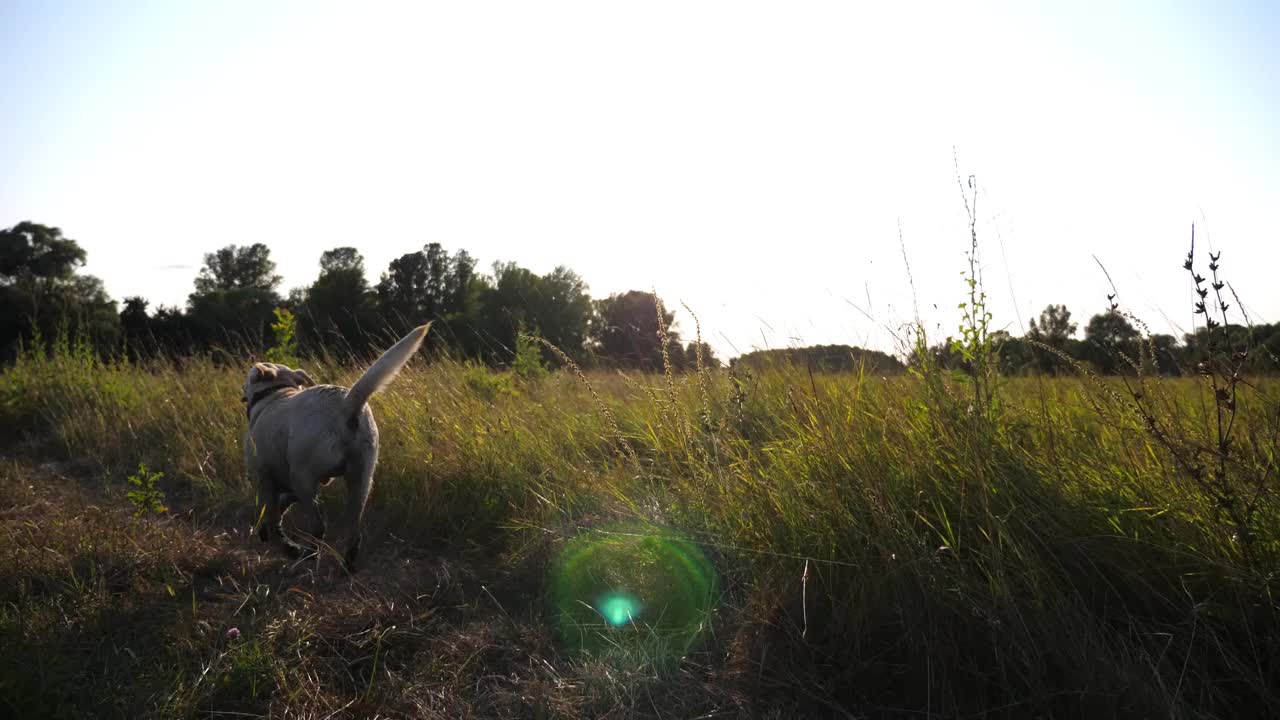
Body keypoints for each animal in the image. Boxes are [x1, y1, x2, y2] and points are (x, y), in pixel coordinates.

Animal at [241, 322, 432, 568]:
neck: (274, 394)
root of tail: (346, 404)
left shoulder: (265, 478)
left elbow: (273, 517)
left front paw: (285, 545)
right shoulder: (308, 483)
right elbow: (279, 508)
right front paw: (268, 531)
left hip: (303, 478)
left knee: (318, 527)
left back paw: (306, 554)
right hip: (360, 481)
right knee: (354, 531)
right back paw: (347, 563)